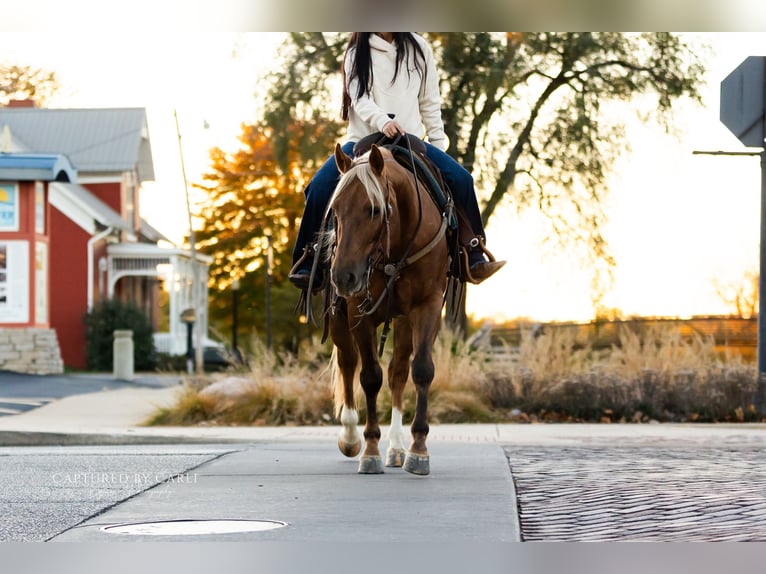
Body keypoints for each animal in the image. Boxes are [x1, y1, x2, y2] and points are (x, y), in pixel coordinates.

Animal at [324, 142, 451, 476]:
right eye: (335, 209)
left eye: (374, 209)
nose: (343, 275)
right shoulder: (357, 310)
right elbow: (369, 376)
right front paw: (369, 450)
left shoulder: (428, 305)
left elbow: (421, 370)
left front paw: (418, 449)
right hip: (339, 316)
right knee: (348, 362)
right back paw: (351, 436)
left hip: (404, 321)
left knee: (398, 372)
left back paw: (396, 448)